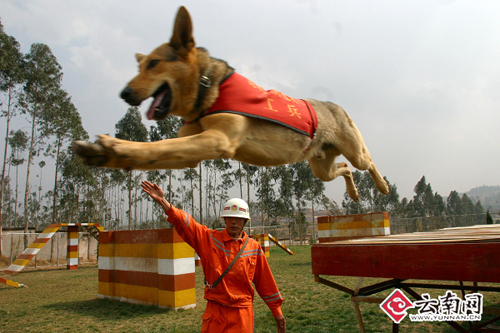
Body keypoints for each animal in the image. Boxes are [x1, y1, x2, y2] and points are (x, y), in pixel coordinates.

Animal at [72, 6, 388, 201]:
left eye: (153, 63)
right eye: (140, 66)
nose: (124, 94)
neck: (205, 92)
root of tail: (335, 105)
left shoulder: (218, 139)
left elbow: (158, 146)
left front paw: (115, 146)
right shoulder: (192, 152)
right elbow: (157, 152)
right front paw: (103, 154)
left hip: (354, 152)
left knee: (367, 161)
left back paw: (382, 185)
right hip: (321, 168)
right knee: (345, 169)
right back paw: (355, 193)